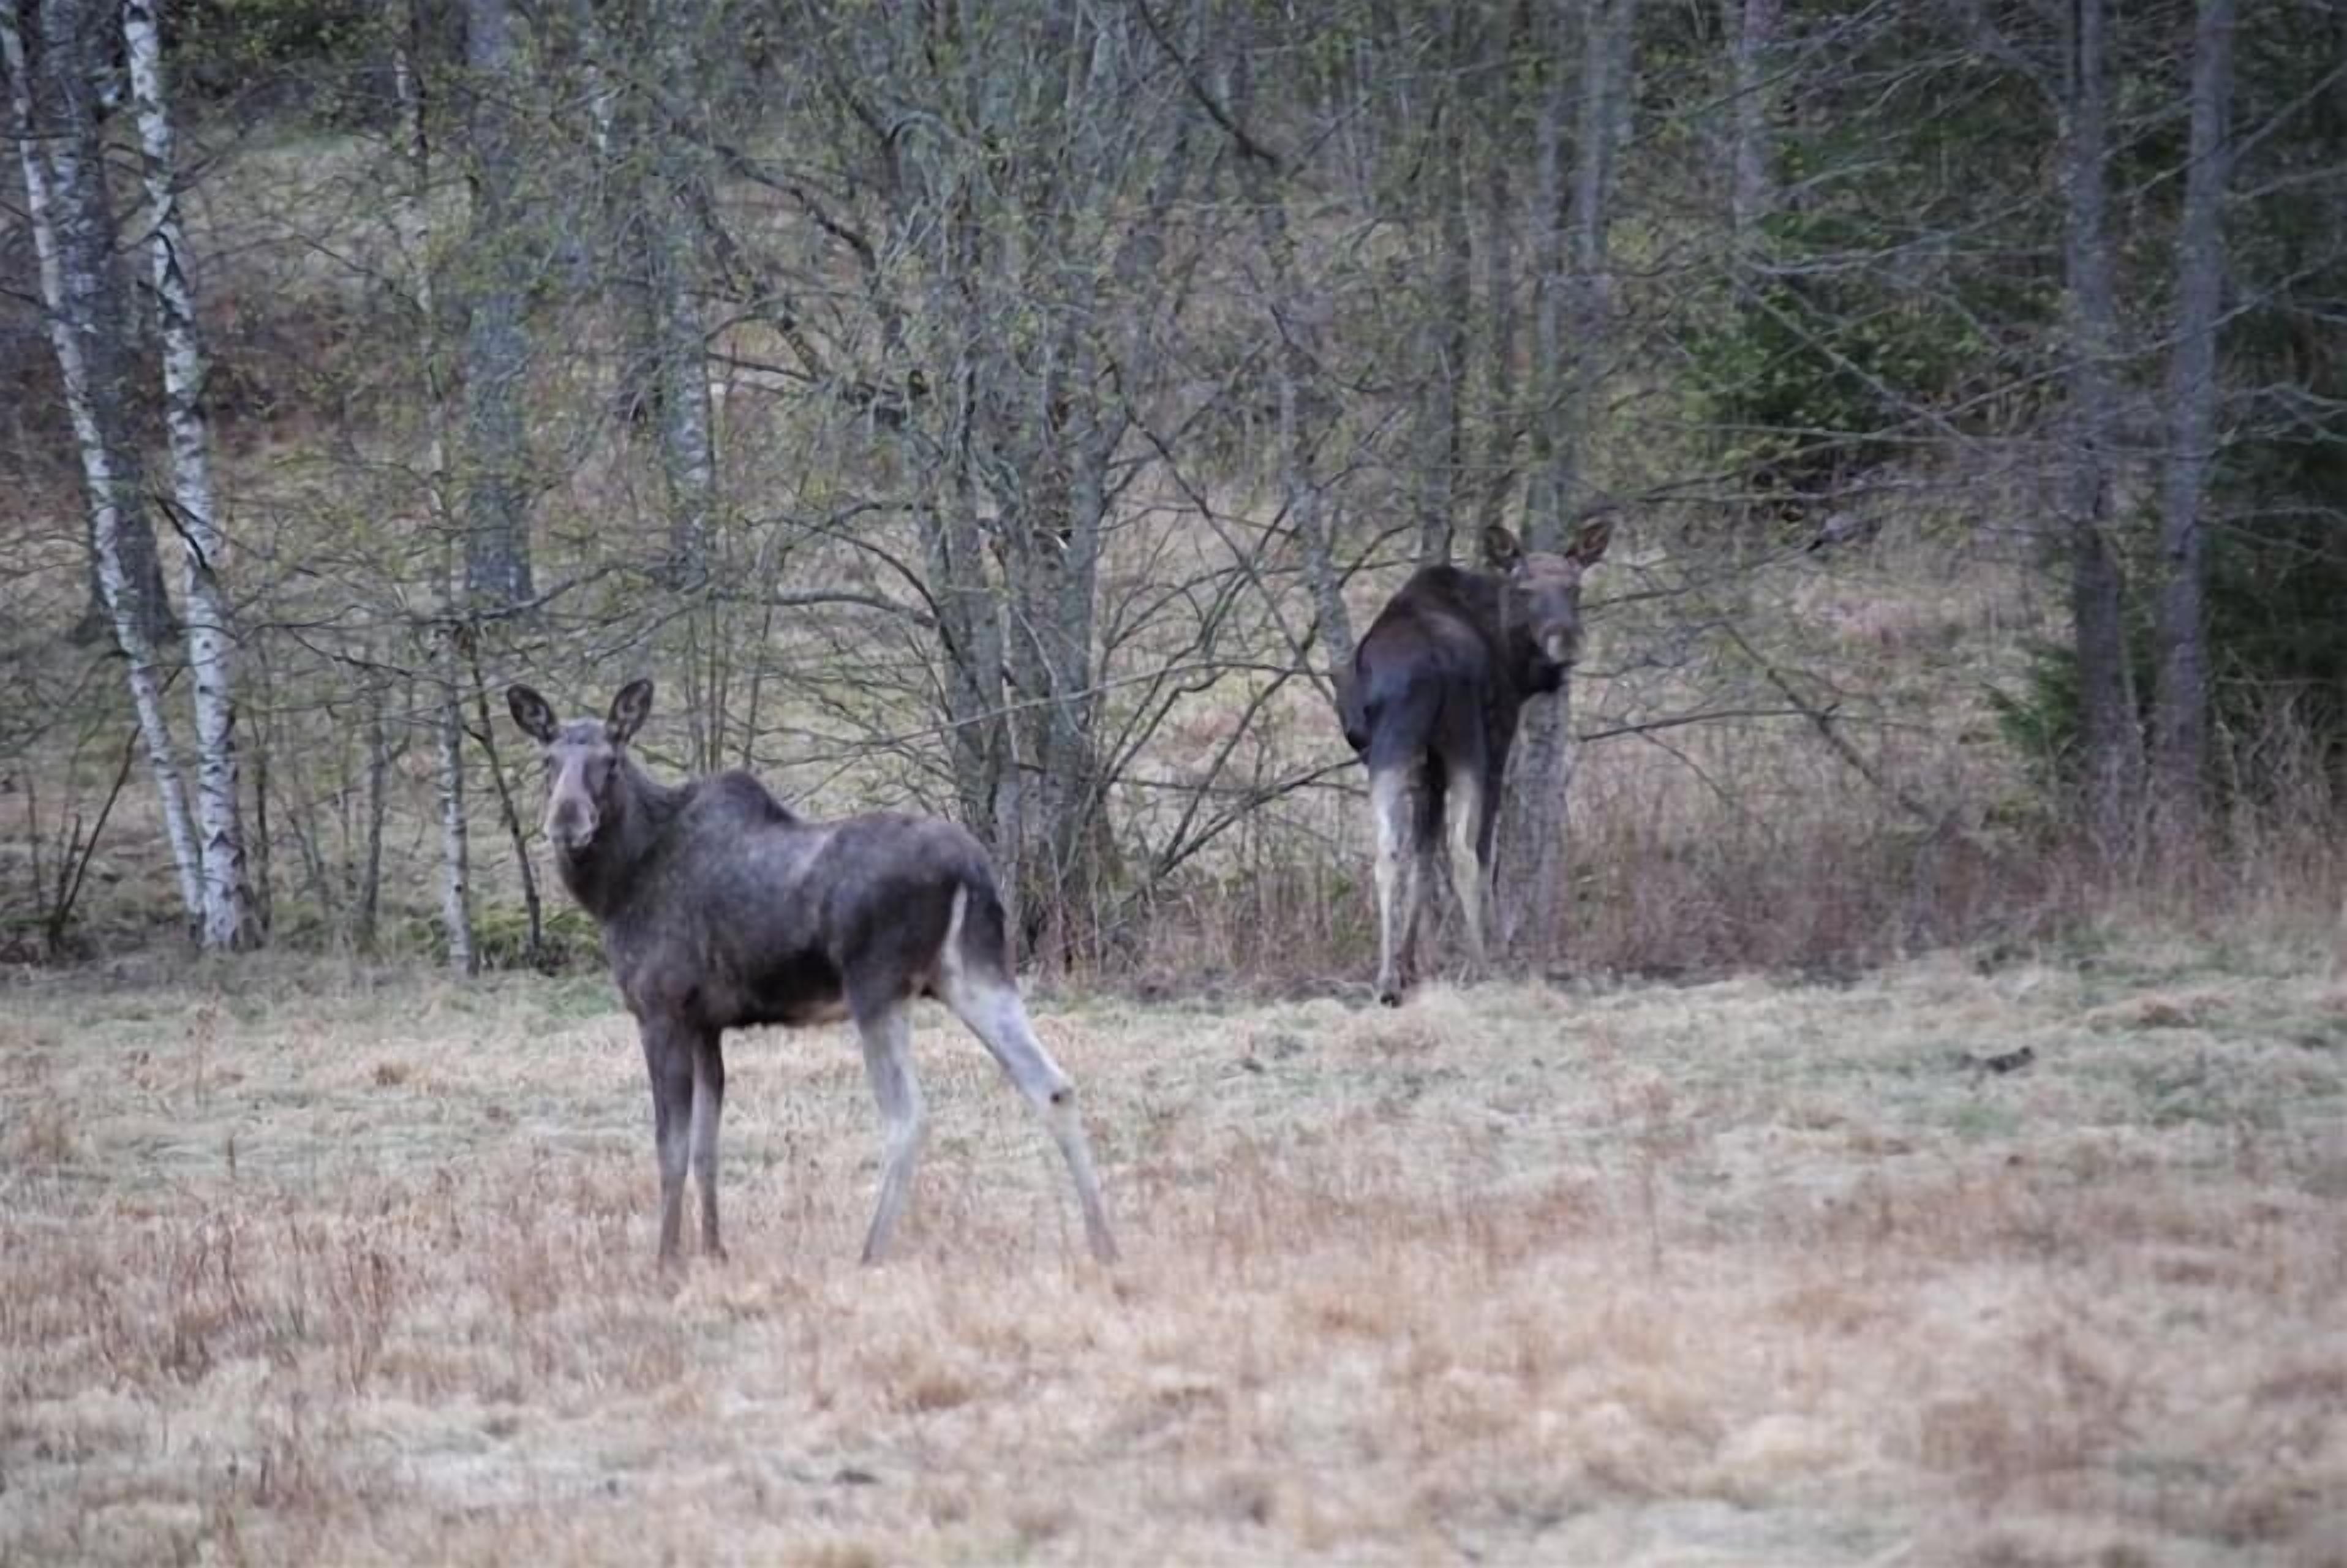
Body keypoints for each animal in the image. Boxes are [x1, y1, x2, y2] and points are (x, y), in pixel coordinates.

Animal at [506, 679, 1118, 1269]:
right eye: (547, 760)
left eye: (609, 761)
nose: (566, 822)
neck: (615, 889)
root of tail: (972, 870)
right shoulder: (706, 1024)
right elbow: (707, 1146)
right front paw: (714, 1251)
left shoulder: (660, 1009)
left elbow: (670, 1147)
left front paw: (666, 1261)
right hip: (975, 975)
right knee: (1052, 1085)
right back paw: (1100, 1240)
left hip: (877, 986)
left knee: (907, 1115)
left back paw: (871, 1252)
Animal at [1340, 519, 1613, 1005]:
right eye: (1525, 590)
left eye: (1575, 587)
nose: (1565, 641)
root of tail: (1429, 662)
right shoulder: (1499, 732)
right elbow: (1481, 848)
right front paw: (1493, 951)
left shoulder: (1427, 764)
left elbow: (1423, 848)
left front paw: (1410, 963)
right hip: (1467, 741)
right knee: (1466, 848)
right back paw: (1481, 964)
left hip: (1391, 750)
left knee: (1388, 848)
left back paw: (1386, 979)